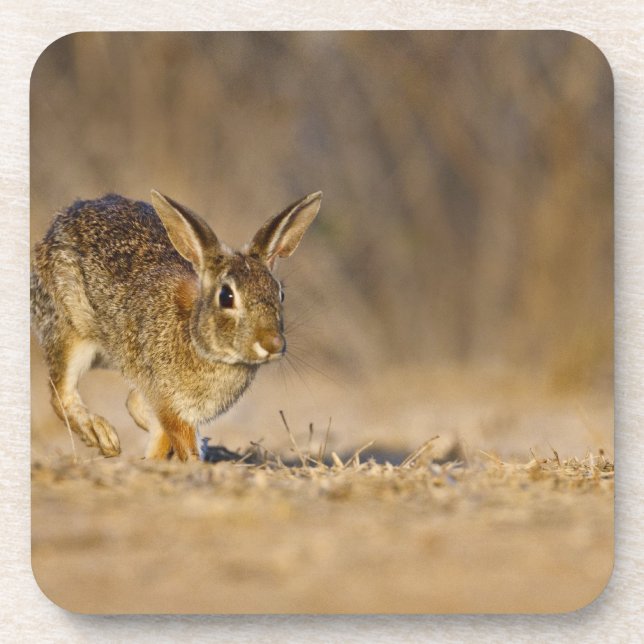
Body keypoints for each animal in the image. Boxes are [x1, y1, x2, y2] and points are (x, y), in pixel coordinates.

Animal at [31, 189, 322, 461]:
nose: (273, 343)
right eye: (226, 297)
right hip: (70, 330)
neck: (197, 338)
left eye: (280, 294)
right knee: (61, 393)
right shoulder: (169, 402)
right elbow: (180, 440)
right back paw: (102, 436)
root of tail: (61, 220)